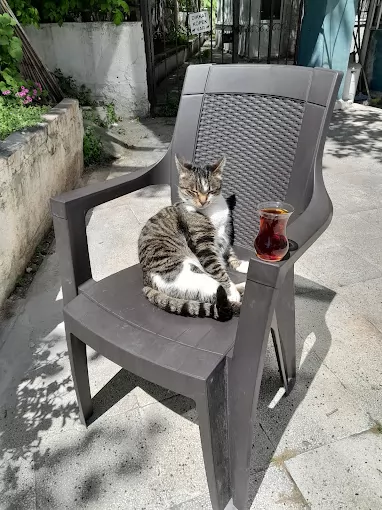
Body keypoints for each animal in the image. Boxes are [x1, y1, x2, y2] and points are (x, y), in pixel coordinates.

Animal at [139, 156, 249, 322]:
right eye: (193, 191)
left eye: (210, 190)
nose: (203, 201)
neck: (212, 211)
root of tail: (146, 280)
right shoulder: (204, 246)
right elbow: (219, 271)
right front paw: (231, 290)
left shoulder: (224, 237)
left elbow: (231, 256)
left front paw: (244, 266)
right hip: (193, 273)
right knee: (219, 299)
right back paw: (236, 296)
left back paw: (242, 286)